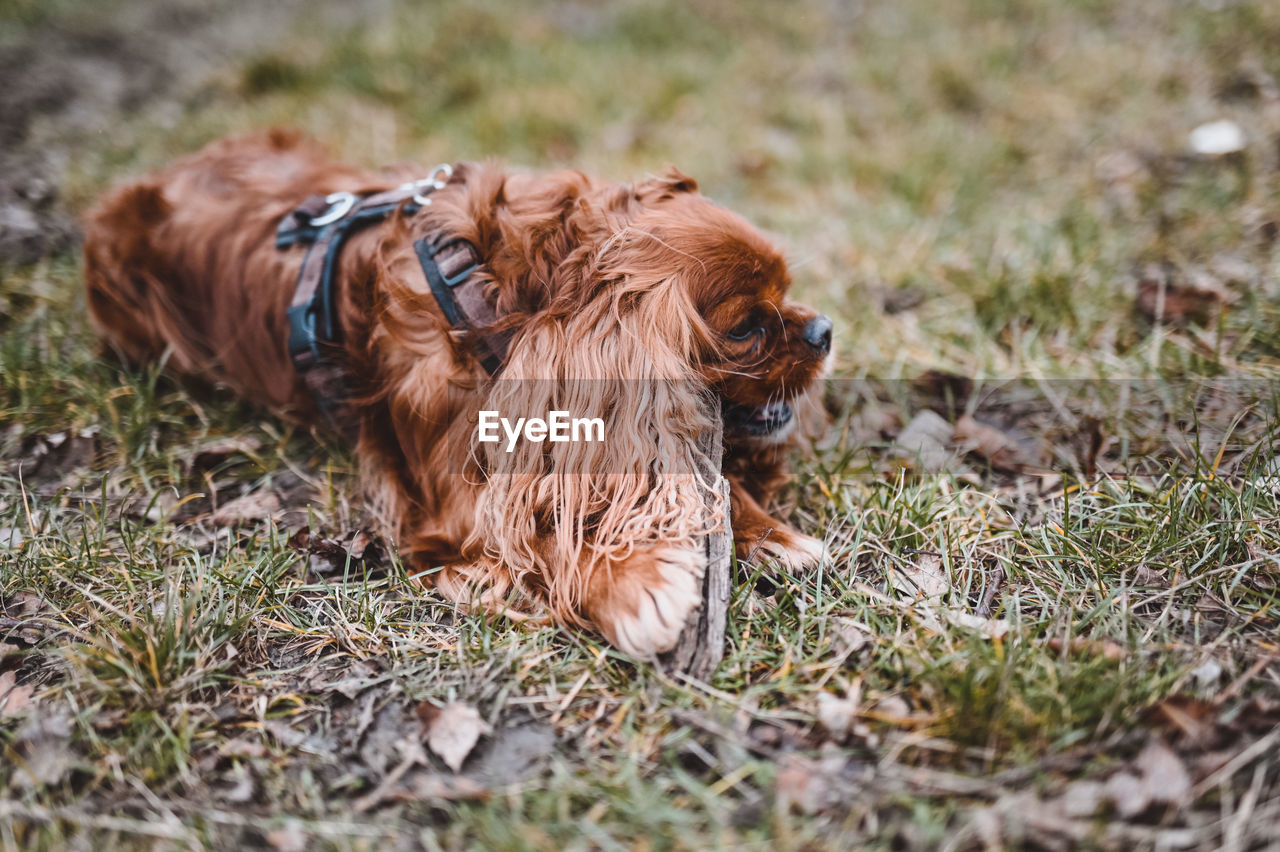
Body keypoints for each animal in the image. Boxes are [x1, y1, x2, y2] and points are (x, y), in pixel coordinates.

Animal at [85, 129, 834, 652]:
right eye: (748, 328)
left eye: (787, 294)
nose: (825, 330)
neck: (494, 298)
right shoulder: (451, 509)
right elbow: (542, 536)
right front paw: (634, 585)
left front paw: (772, 535)